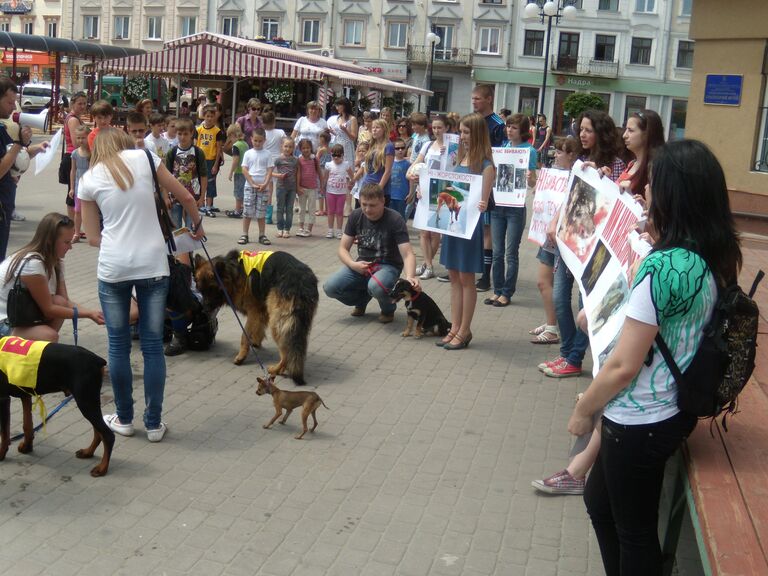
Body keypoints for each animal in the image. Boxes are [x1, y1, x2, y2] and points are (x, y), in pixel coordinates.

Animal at [0, 338, 115, 476]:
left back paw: (102, 468)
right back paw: (88, 452)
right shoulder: (25, 394)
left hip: (85, 401)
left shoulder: (3, 398)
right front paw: (27, 447)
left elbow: (4, 434)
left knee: (108, 435)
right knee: (98, 431)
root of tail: (97, 360)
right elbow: (27, 425)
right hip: (89, 400)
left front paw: (1, 454)